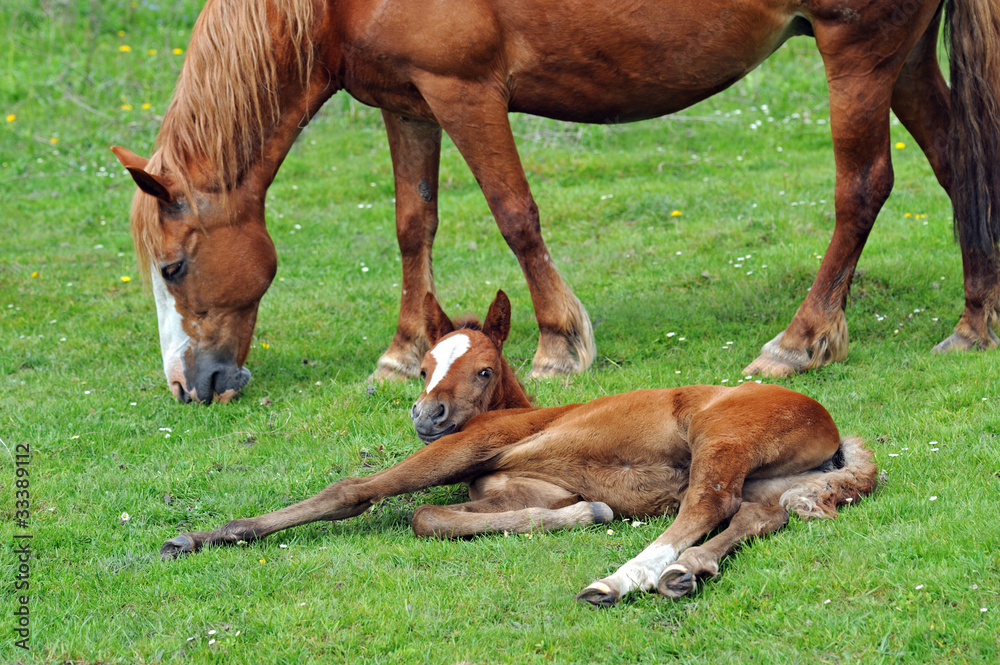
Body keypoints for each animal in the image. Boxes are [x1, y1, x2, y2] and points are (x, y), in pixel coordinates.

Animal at [113, 0, 1000, 402]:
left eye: (175, 266)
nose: (187, 385)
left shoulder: (465, 91)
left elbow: (515, 214)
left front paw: (558, 342)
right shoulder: (408, 103)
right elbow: (413, 224)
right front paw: (402, 350)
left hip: (859, 49)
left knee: (864, 188)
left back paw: (802, 339)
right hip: (902, 54)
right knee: (962, 163)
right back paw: (975, 320)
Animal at [159, 290, 878, 606]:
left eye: (481, 370)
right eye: (424, 366)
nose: (426, 413)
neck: (515, 414)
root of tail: (830, 423)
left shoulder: (463, 448)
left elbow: (357, 492)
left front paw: (207, 535)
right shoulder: (519, 486)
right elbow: (435, 517)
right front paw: (584, 512)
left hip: (721, 441)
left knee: (706, 503)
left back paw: (623, 578)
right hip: (774, 483)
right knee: (755, 515)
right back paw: (685, 571)